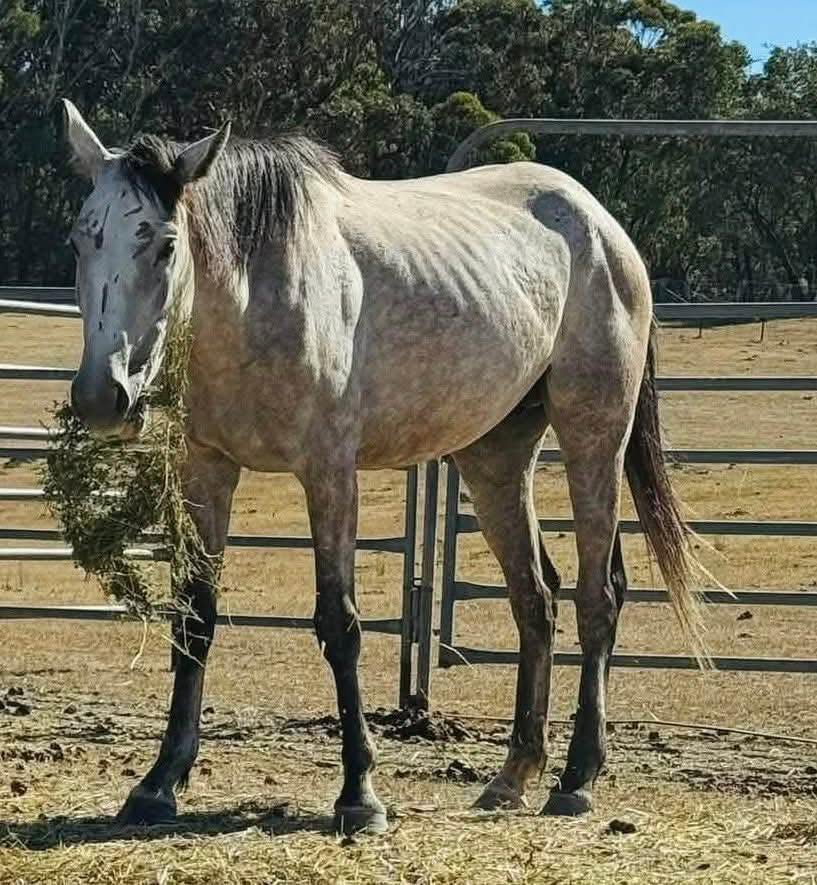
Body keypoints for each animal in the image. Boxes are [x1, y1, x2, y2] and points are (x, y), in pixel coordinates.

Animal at [61, 99, 702, 834]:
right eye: (80, 241)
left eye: (165, 244)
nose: (101, 397)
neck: (261, 293)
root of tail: (602, 226)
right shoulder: (206, 468)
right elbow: (194, 619)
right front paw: (157, 784)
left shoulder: (329, 471)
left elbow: (339, 626)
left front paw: (358, 794)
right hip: (495, 455)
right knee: (534, 597)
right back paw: (512, 776)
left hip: (593, 434)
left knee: (599, 593)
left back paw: (575, 779)